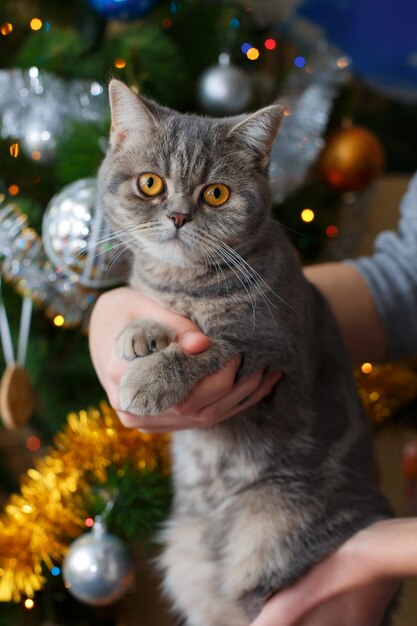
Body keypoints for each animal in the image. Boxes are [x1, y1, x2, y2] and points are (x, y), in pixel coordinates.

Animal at [97, 79, 394, 624]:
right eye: (150, 184)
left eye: (216, 193)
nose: (178, 216)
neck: (185, 284)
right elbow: (159, 314)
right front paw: (141, 330)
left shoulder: (269, 351)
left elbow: (205, 349)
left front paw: (147, 380)